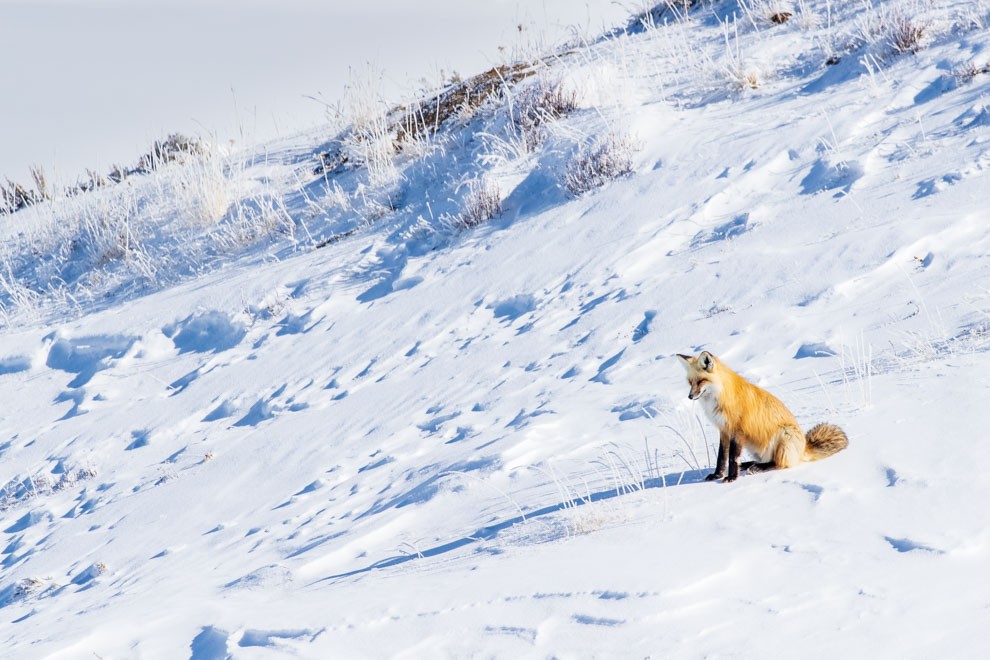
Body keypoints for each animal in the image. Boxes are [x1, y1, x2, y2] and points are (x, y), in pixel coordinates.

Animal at [680, 354, 848, 482]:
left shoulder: (737, 430)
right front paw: (717, 475)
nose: (689, 397)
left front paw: (732, 477)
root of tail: (804, 448)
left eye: (701, 381)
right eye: (690, 382)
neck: (722, 396)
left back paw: (757, 468)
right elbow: (722, 457)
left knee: (779, 464)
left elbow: (732, 458)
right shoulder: (724, 430)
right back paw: (748, 464)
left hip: (783, 436)